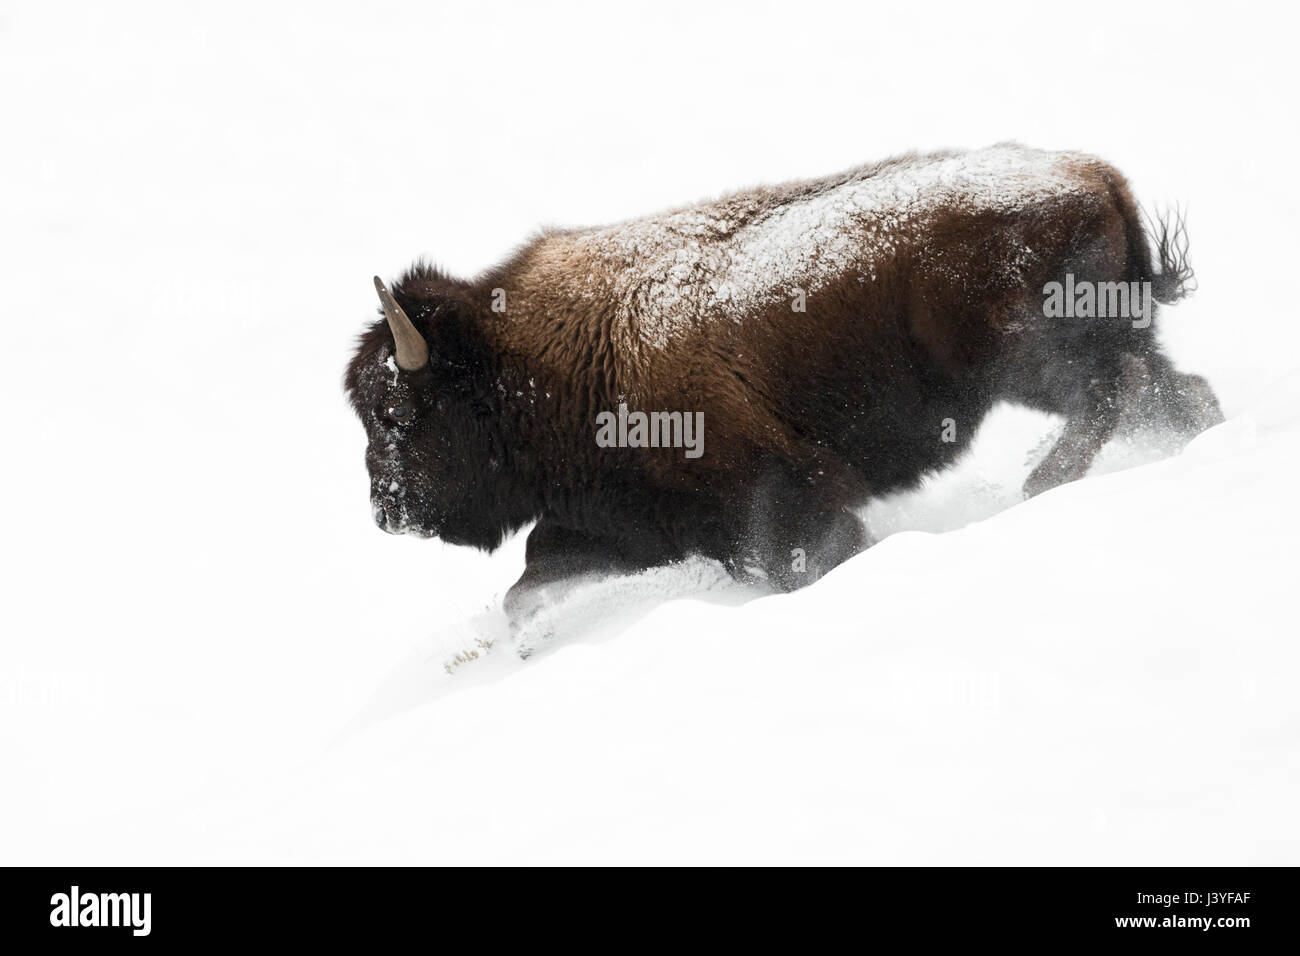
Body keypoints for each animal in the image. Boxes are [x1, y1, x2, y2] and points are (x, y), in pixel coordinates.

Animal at [343, 145, 1216, 616]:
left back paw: (1038, 485)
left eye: (396, 413)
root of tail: (1094, 174)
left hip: (1026, 363)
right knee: (1170, 392)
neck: (525, 362)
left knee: (1109, 392)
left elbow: (796, 556)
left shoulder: (780, 495)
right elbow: (531, 582)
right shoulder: (628, 522)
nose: (386, 511)